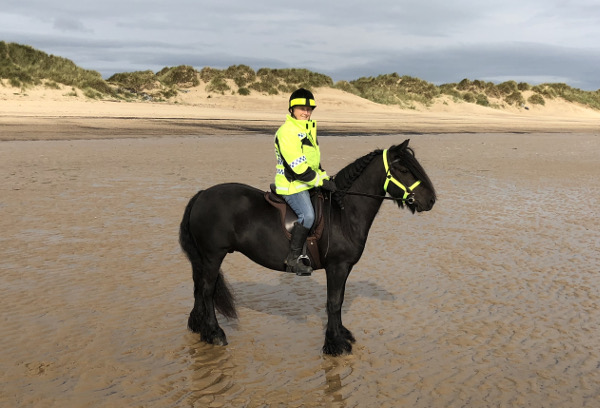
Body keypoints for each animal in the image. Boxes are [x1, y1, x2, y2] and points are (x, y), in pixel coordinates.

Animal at [178, 139, 436, 356]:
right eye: (404, 170)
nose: (431, 200)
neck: (342, 213)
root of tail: (202, 195)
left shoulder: (344, 268)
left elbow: (339, 301)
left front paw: (341, 335)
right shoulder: (337, 266)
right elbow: (333, 303)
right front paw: (334, 344)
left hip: (204, 258)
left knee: (199, 288)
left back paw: (199, 327)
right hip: (213, 256)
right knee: (206, 291)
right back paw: (215, 333)